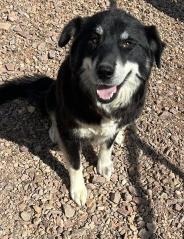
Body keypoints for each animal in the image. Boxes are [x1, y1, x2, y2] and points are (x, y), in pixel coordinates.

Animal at [0, 0, 165, 205]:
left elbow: (107, 145)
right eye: (94, 39)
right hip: (53, 94)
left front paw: (104, 164)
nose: (104, 71)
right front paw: (78, 190)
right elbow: (75, 164)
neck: (100, 106)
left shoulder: (115, 123)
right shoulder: (70, 136)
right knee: (52, 113)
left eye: (128, 43)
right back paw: (54, 130)